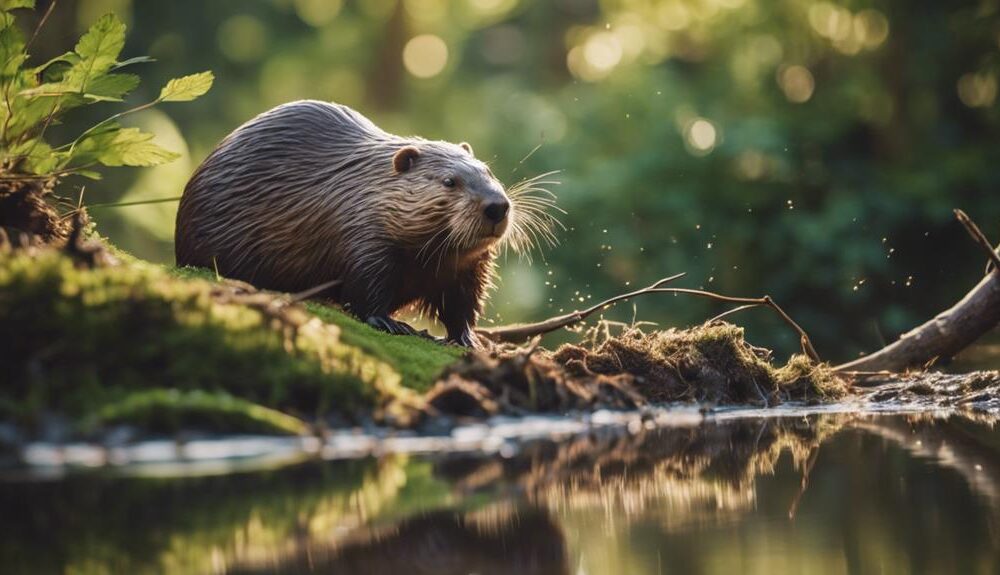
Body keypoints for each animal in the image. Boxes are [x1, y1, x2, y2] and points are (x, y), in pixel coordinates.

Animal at [178, 101, 556, 348]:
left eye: (488, 171)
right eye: (450, 181)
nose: (497, 207)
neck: (368, 187)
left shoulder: (468, 267)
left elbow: (461, 304)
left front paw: (467, 340)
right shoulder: (364, 236)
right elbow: (365, 288)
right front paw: (393, 324)